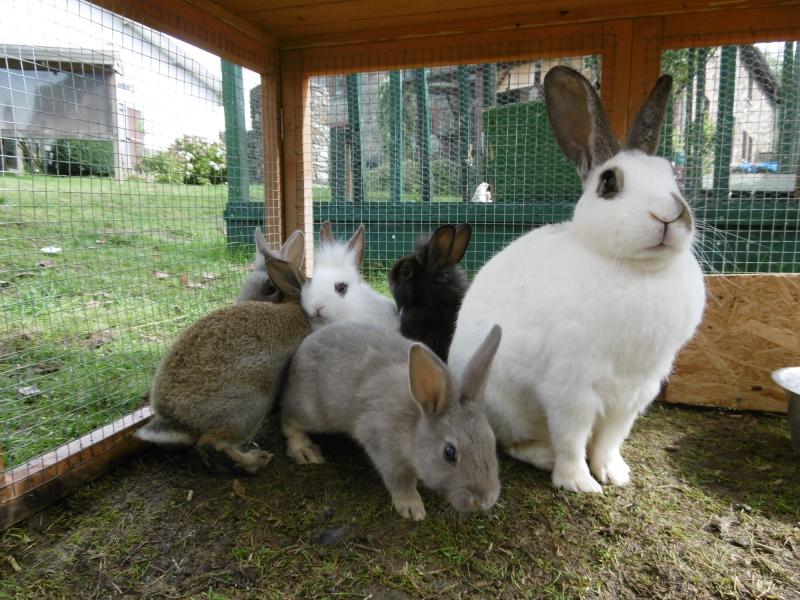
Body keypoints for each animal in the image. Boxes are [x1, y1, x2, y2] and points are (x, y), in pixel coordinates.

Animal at [281, 321, 502, 520]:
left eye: (492, 442)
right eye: (449, 452)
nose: (485, 500)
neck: (415, 426)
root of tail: (302, 348)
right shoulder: (383, 448)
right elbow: (399, 479)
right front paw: (412, 508)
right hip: (312, 411)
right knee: (289, 417)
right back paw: (305, 450)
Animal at [448, 66, 706, 494]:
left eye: (674, 177)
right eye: (609, 183)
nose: (670, 215)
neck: (635, 268)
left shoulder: (634, 394)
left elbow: (610, 439)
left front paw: (615, 474)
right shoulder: (570, 388)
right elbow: (571, 437)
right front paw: (579, 483)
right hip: (506, 407)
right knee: (515, 443)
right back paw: (544, 456)